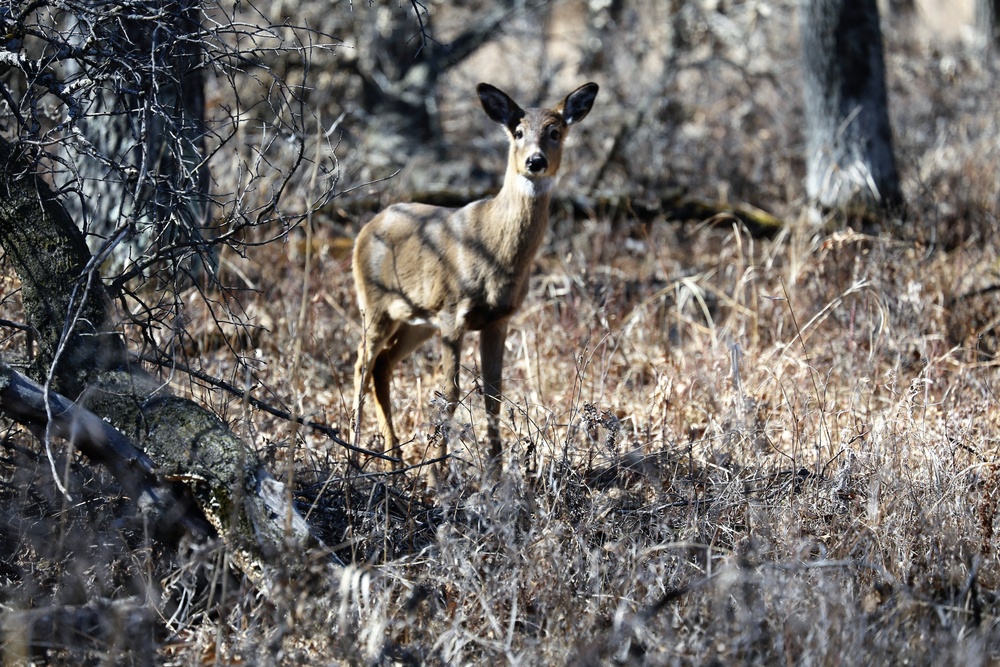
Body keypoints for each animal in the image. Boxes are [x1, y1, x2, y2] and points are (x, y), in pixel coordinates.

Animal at [354, 82, 596, 480]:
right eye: (518, 132)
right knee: (362, 364)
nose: (535, 161)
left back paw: (395, 460)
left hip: (416, 320)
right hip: (375, 305)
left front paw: (495, 473)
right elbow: (449, 394)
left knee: (382, 364)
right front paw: (437, 473)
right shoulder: (453, 313)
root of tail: (367, 227)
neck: (495, 248)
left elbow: (493, 396)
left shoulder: (498, 319)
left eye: (555, 131)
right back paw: (355, 452)